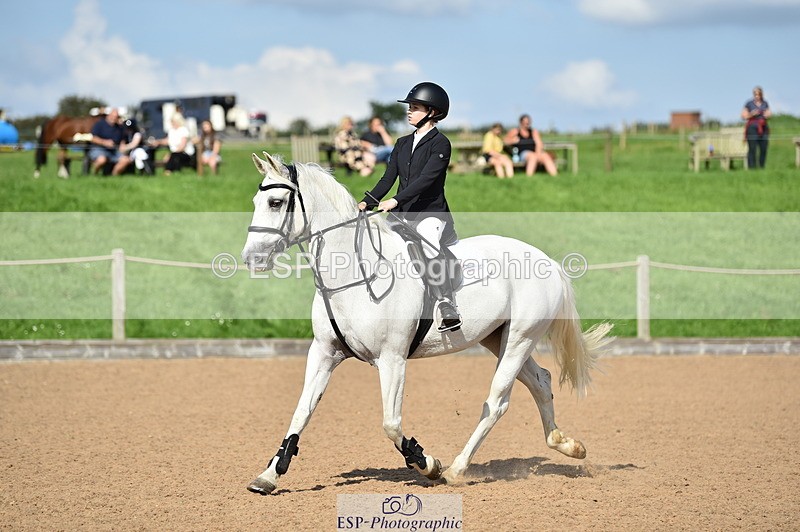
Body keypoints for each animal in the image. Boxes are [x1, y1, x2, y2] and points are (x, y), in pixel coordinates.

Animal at [241, 152, 613, 494]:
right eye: (257, 201)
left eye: (276, 202)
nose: (250, 259)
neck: (354, 275)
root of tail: (547, 260)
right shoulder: (324, 353)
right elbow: (301, 412)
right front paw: (269, 475)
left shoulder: (391, 359)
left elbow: (391, 424)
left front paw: (427, 463)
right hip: (499, 339)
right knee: (541, 381)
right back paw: (567, 445)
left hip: (520, 339)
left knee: (496, 403)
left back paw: (456, 470)